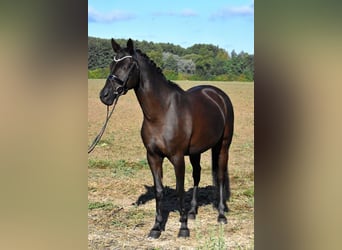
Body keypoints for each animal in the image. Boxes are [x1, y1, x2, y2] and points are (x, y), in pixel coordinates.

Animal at [100, 38, 234, 238]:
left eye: (127, 66)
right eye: (111, 64)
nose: (105, 95)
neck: (162, 111)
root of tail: (217, 94)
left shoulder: (177, 157)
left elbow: (179, 190)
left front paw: (183, 228)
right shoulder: (153, 157)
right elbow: (159, 190)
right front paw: (156, 227)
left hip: (223, 147)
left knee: (220, 177)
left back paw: (221, 215)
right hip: (195, 152)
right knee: (197, 175)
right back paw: (193, 212)